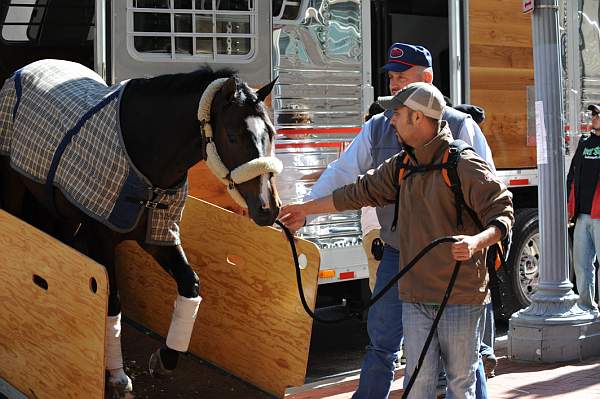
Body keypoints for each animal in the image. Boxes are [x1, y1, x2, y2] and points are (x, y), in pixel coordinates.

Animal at [0, 60, 282, 399]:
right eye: (233, 135)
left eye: (270, 133)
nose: (269, 208)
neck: (145, 158)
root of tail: (26, 67)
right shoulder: (101, 238)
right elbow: (112, 299)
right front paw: (117, 375)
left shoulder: (160, 237)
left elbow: (190, 284)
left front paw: (165, 357)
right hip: (14, 187)